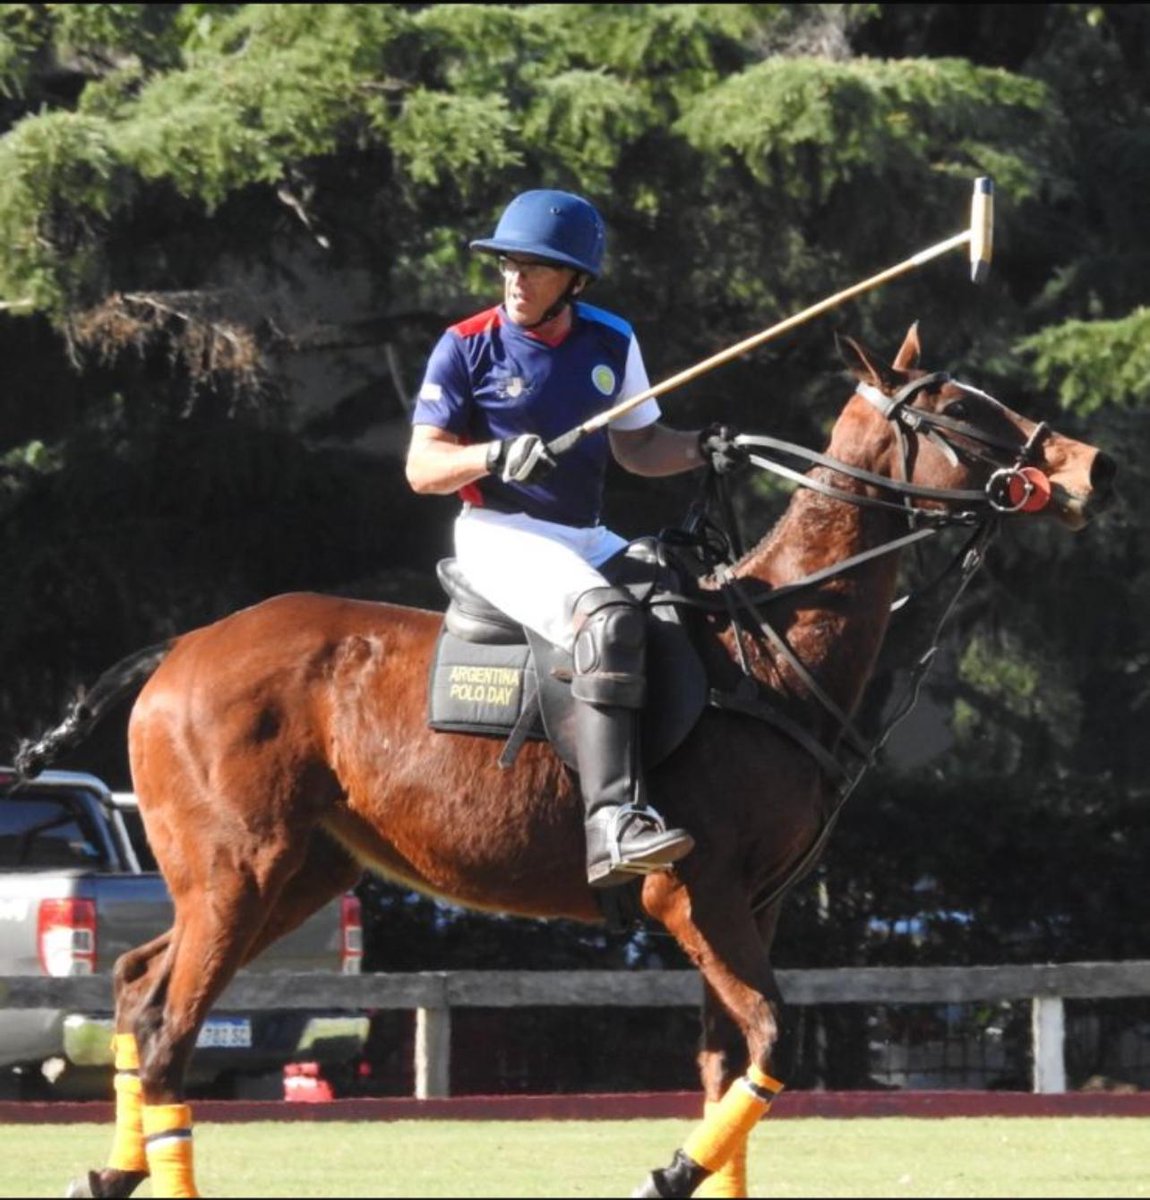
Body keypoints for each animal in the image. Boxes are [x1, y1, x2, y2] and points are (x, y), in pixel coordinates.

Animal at [17, 324, 1113, 1199]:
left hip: (293, 873)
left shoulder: (754, 904)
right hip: (238, 870)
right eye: (961, 408)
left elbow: (725, 1063)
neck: (768, 643)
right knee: (168, 1032)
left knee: (135, 982)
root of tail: (178, 649)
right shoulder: (691, 893)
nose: (1089, 465)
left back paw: (107, 1170)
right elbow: (768, 1040)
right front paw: (666, 1172)